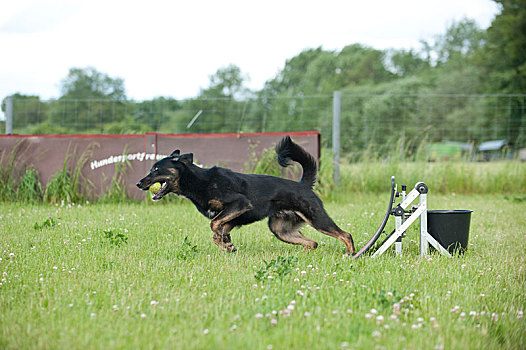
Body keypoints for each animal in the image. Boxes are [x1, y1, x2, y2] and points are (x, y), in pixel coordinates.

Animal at [138, 136, 356, 254]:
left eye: (156, 169)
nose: (139, 183)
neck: (199, 181)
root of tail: (303, 185)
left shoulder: (240, 204)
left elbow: (214, 224)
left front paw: (226, 244)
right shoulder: (232, 217)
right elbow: (217, 231)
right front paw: (227, 245)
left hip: (317, 219)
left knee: (345, 235)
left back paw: (351, 255)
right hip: (280, 230)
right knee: (313, 242)